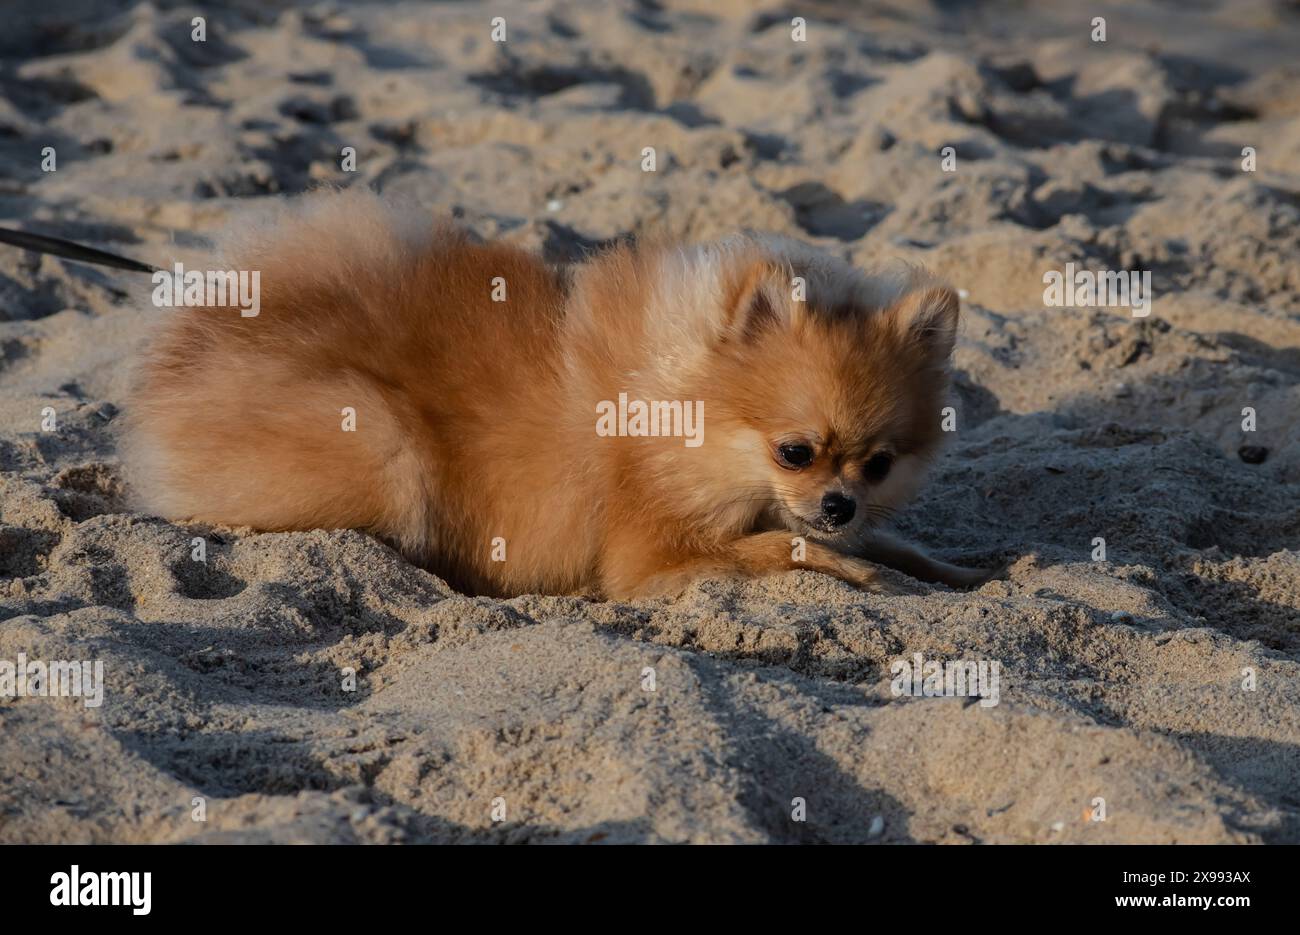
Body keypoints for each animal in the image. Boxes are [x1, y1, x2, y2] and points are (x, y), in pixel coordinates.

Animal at [124, 191, 993, 600]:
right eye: (795, 451)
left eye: (879, 464)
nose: (841, 503)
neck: (687, 404)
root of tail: (191, 346)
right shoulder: (652, 551)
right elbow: (789, 548)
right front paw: (858, 572)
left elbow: (893, 546)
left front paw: (957, 570)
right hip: (379, 437)